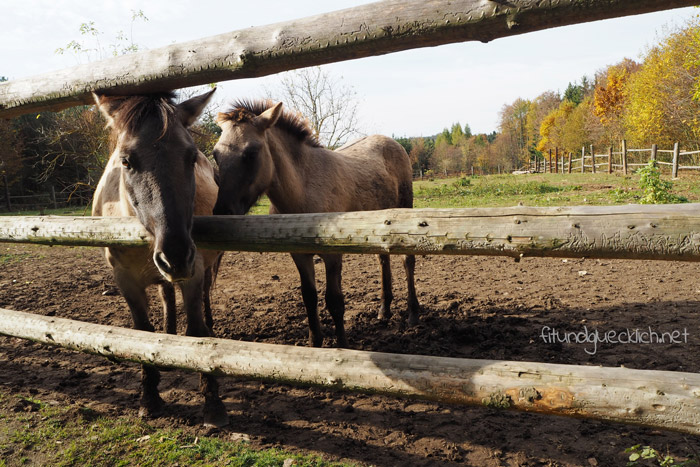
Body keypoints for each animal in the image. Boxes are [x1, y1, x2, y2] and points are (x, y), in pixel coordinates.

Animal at [92, 89, 227, 430]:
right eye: (126, 160)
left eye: (191, 158)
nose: (176, 255)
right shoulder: (125, 280)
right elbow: (142, 333)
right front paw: (149, 398)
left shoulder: (193, 272)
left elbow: (197, 332)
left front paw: (213, 404)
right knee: (166, 294)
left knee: (204, 296)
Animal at [213, 98, 418, 348]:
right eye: (215, 154)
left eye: (251, 152)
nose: (222, 212)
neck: (304, 191)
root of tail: (392, 143)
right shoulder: (300, 256)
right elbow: (309, 298)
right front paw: (314, 344)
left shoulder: (332, 255)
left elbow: (334, 301)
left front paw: (342, 346)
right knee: (383, 259)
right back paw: (384, 309)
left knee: (408, 260)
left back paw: (412, 313)